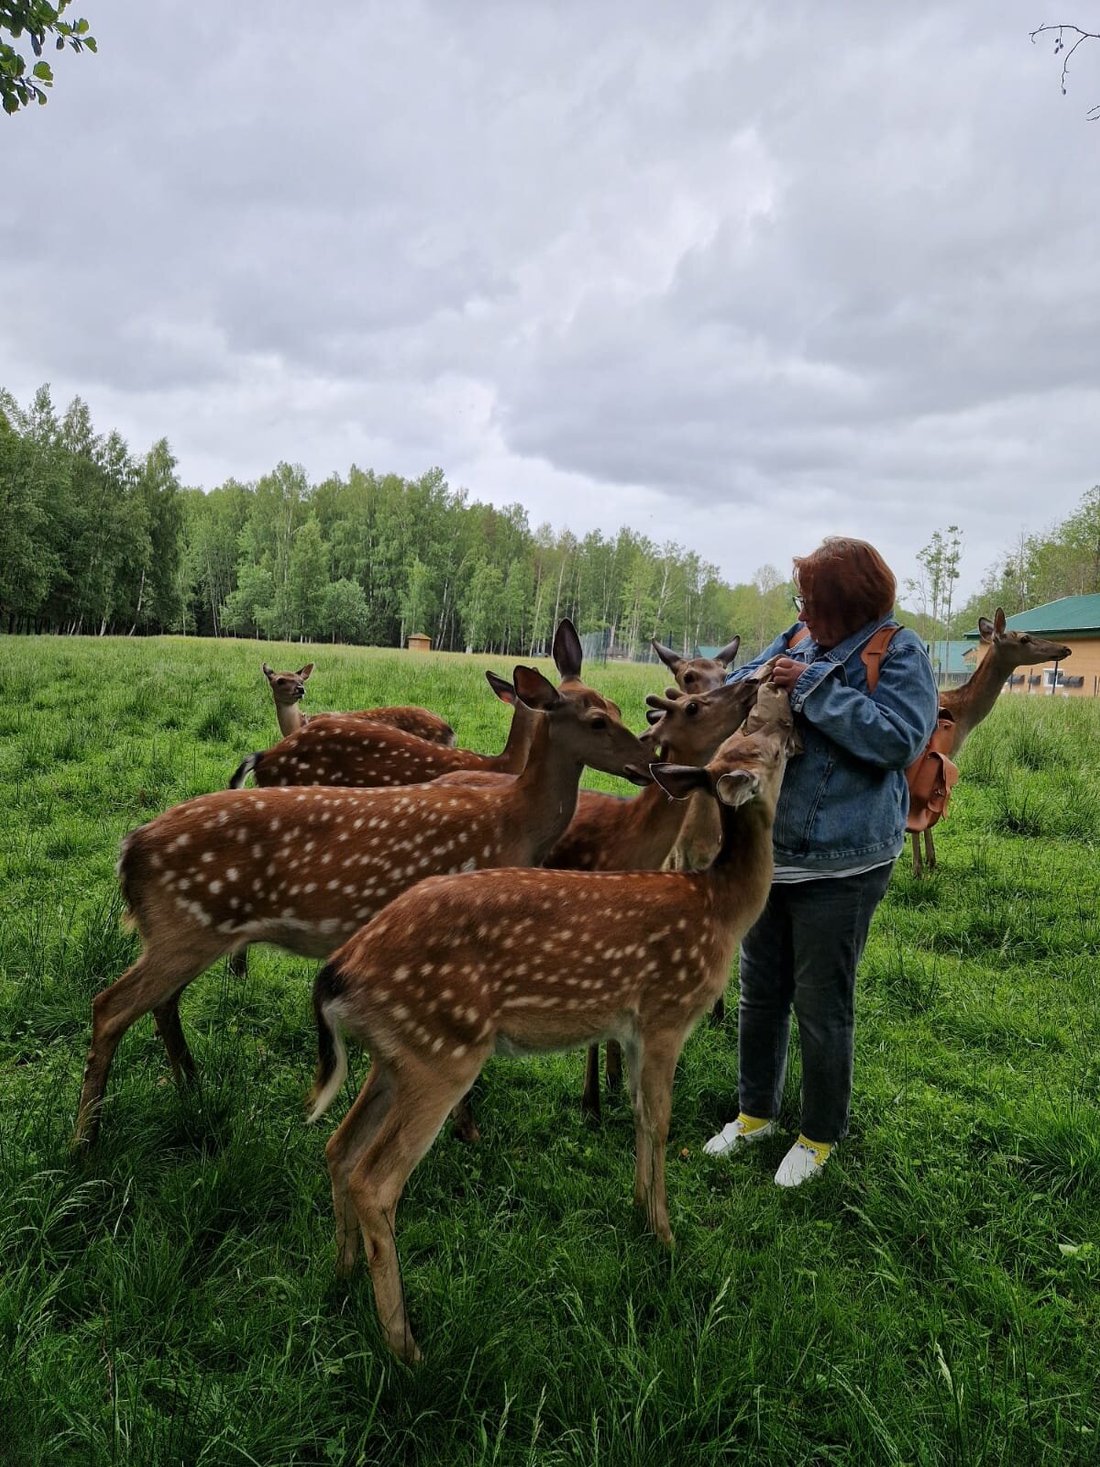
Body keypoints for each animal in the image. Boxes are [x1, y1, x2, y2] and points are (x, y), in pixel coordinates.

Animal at [306, 686, 797, 1361]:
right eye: (765, 748)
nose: (785, 710)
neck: (720, 909)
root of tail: (338, 971)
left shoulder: (631, 1028)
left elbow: (638, 1116)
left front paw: (638, 1207)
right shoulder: (667, 1012)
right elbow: (661, 1119)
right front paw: (666, 1234)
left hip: (396, 1054)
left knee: (338, 1147)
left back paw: (343, 1277)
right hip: (442, 1052)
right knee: (374, 1181)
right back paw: (407, 1347)